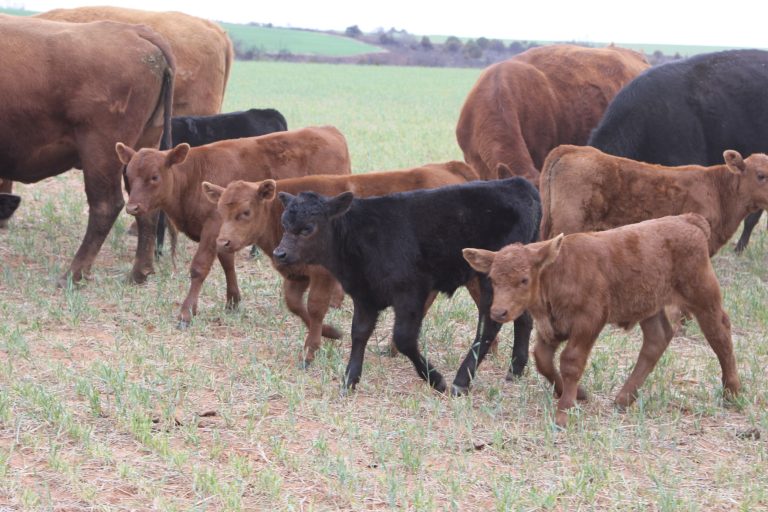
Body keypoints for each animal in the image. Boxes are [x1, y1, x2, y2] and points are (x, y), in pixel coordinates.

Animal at [0, 15, 174, 284]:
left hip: (101, 152)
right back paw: (139, 273)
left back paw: (73, 274)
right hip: (140, 151)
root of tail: (135, 31)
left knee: (105, 206)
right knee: (146, 208)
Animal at [116, 126, 351, 327]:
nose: (132, 207)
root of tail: (330, 130)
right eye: (128, 176)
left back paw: (334, 301)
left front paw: (186, 313)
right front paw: (232, 301)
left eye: (154, 177)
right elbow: (227, 262)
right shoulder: (224, 233)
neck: (193, 177)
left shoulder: (212, 227)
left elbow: (199, 267)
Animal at [203, 160, 481, 365]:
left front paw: (311, 350)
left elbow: (315, 307)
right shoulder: (297, 274)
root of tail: (449, 168)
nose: (223, 242)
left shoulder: (322, 274)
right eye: (220, 210)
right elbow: (295, 305)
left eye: (245, 212)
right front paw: (331, 333)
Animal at [272, 178, 541, 394]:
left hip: (492, 278)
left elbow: (403, 339)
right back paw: (515, 369)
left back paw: (461, 381)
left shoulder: (410, 292)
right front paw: (349, 380)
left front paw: (436, 380)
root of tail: (518, 184)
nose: (279, 253)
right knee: (523, 318)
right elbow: (359, 333)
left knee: (489, 325)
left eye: (307, 229)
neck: (359, 236)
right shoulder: (365, 295)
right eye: (284, 224)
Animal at [464, 214, 740, 428]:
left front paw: (563, 413)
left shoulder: (589, 321)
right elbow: (542, 359)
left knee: (720, 334)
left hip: (702, 295)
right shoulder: (551, 327)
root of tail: (687, 220)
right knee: (657, 339)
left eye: (523, 279)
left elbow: (571, 361)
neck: (558, 272)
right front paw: (577, 393)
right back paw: (624, 398)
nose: (499, 312)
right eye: (493, 278)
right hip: (650, 305)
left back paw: (732, 393)